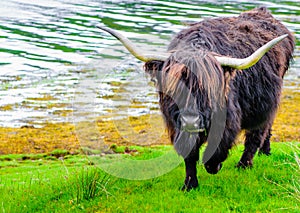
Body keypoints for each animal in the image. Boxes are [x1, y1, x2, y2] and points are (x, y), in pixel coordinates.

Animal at [99, 7, 296, 190]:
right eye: (176, 89)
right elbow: (189, 153)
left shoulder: (228, 119)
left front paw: (213, 166)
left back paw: (244, 165)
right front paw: (189, 184)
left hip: (266, 101)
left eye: (206, 90)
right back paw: (265, 152)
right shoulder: (176, 124)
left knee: (257, 133)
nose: (190, 121)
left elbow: (219, 148)